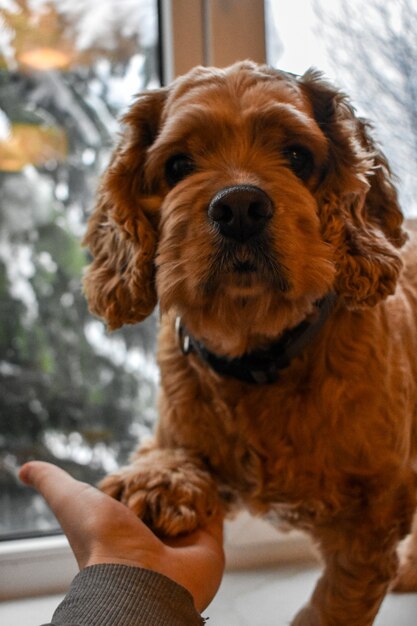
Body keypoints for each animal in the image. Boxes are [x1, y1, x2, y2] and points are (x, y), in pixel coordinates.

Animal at [83, 59, 416, 624]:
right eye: (178, 165)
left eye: (298, 156)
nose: (240, 206)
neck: (258, 355)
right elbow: (165, 452)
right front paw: (158, 482)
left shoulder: (370, 530)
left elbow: (332, 604)